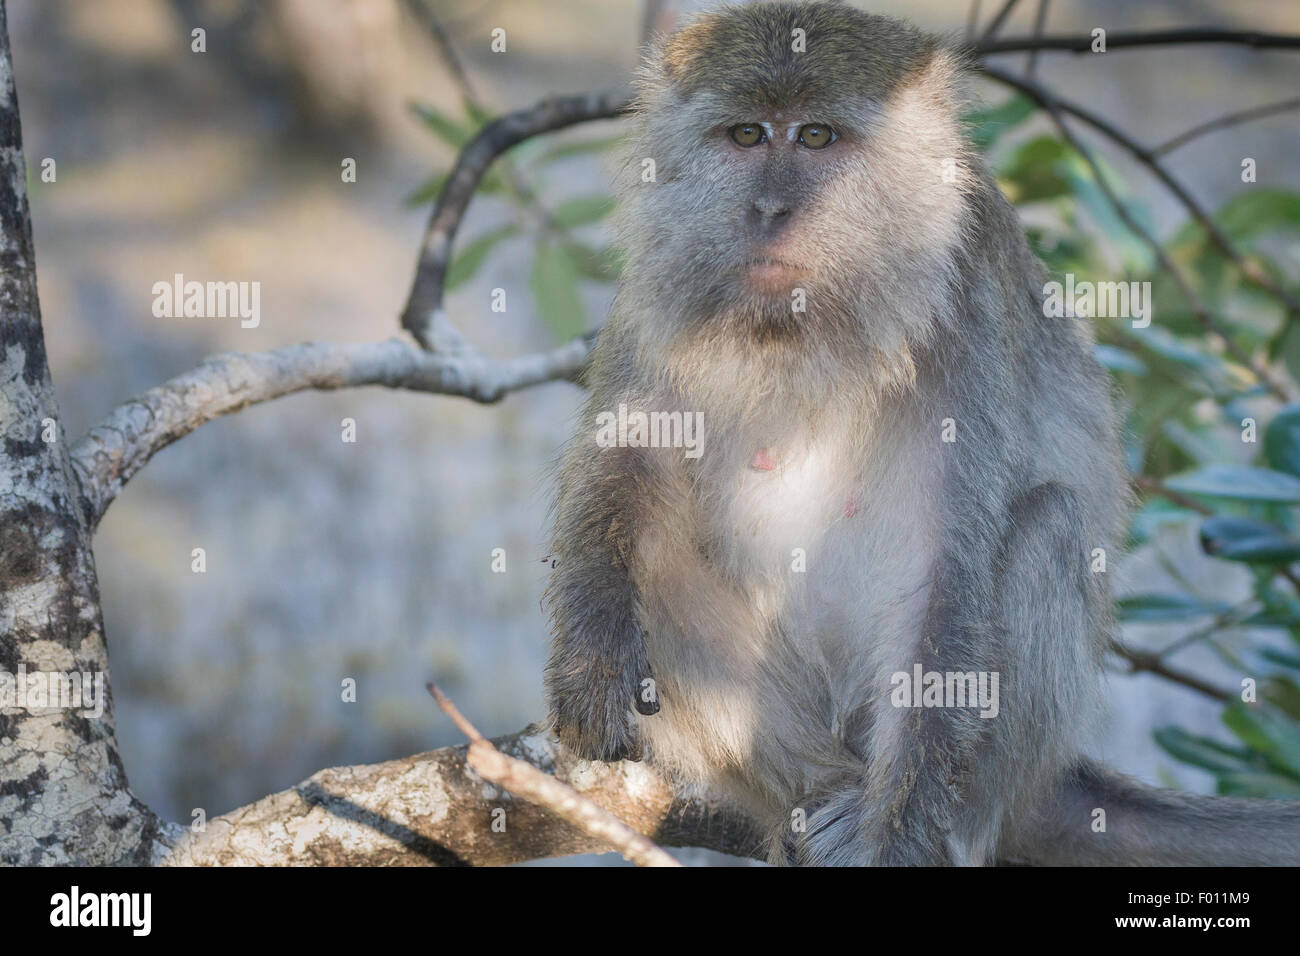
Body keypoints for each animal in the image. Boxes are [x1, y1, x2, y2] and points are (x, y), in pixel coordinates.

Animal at [543, 0, 1300, 865]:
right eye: (745, 135)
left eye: (816, 137)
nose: (770, 211)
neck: (804, 331)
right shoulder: (655, 289)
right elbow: (627, 458)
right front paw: (593, 652)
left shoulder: (967, 295)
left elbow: (945, 566)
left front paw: (900, 839)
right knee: (663, 551)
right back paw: (813, 793)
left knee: (1045, 526)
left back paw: (927, 820)